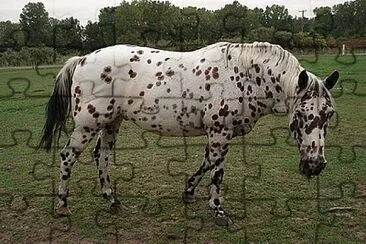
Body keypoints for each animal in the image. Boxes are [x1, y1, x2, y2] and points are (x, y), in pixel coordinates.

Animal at [38, 41, 338, 225]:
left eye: (329, 115)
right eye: (300, 115)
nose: (315, 165)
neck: (245, 76)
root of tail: (83, 59)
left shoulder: (217, 133)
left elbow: (206, 163)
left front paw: (189, 192)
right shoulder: (220, 132)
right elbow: (217, 171)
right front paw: (218, 210)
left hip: (111, 122)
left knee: (102, 156)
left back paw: (113, 200)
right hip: (88, 124)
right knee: (68, 156)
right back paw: (62, 206)